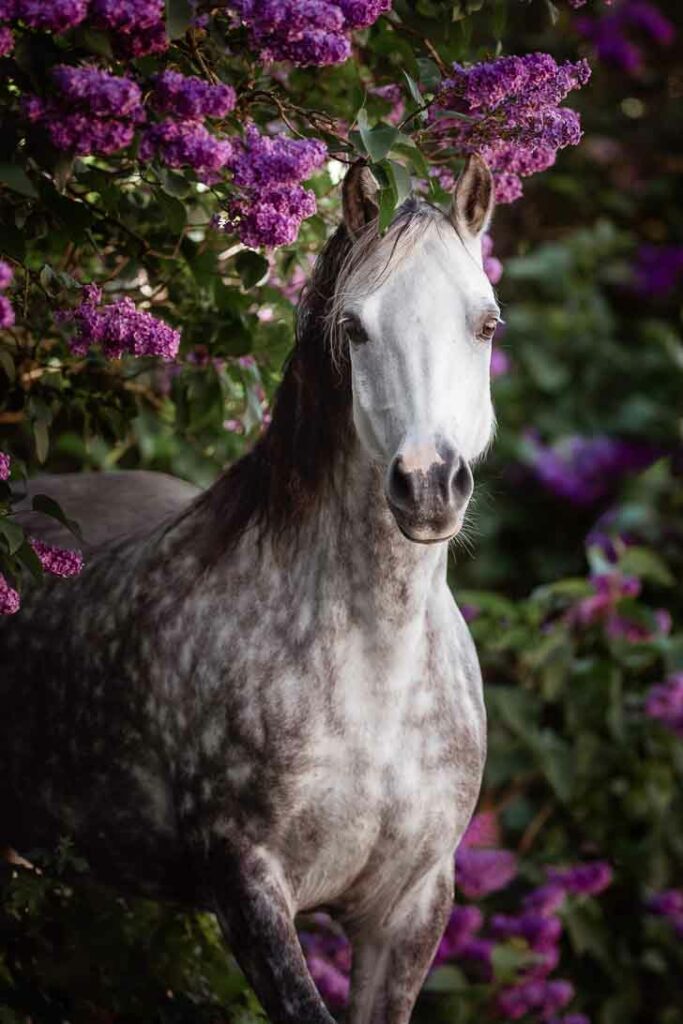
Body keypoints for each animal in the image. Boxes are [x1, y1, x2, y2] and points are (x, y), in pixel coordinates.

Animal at [1, 157, 501, 1024]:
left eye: (486, 325)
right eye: (354, 328)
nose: (428, 485)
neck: (377, 669)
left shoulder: (409, 906)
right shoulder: (248, 886)